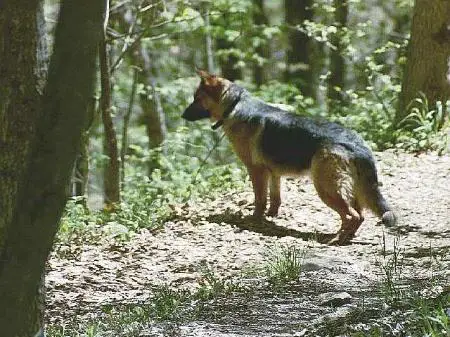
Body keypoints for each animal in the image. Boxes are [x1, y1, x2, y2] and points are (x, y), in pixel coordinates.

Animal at [181, 70, 396, 244]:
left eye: (197, 98)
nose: (182, 116)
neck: (234, 105)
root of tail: (358, 145)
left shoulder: (256, 170)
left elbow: (260, 199)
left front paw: (255, 219)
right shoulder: (273, 173)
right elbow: (275, 198)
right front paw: (271, 216)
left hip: (326, 188)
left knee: (353, 216)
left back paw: (338, 239)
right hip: (347, 189)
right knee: (359, 214)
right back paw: (346, 236)